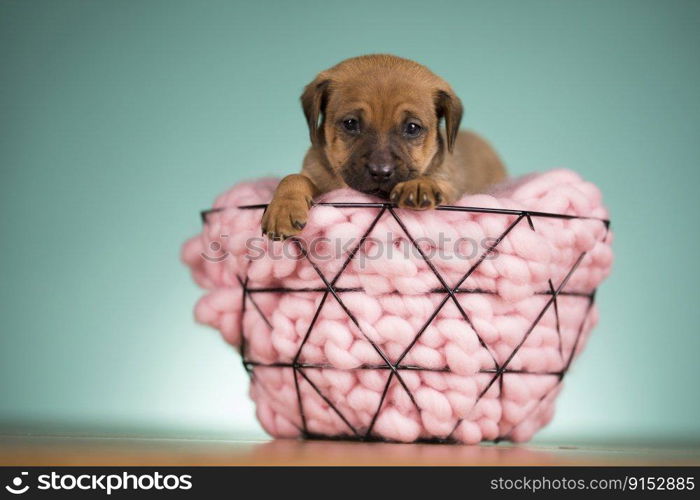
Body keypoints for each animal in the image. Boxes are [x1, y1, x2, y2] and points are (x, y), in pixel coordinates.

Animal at [260, 54, 506, 240]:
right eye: (351, 124)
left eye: (412, 128)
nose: (380, 172)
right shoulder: (318, 177)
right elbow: (293, 178)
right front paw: (283, 209)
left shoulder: (451, 185)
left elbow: (437, 182)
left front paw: (419, 185)